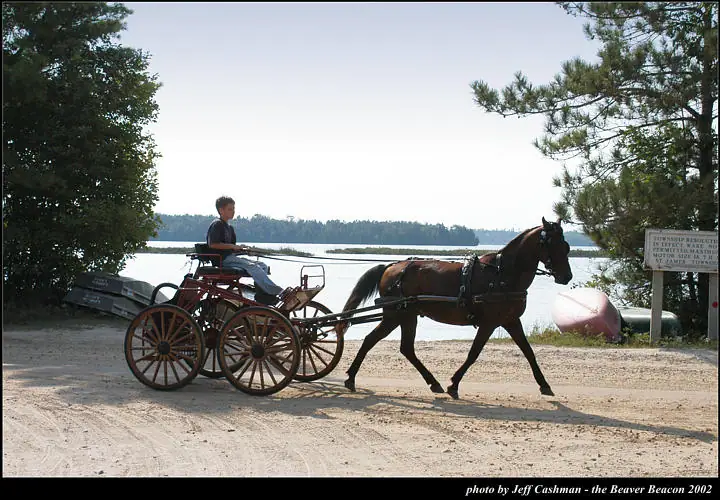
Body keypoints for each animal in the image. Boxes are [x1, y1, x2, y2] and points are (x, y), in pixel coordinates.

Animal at [336, 217, 573, 399]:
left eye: (567, 246)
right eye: (551, 244)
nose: (567, 276)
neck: (501, 275)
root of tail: (391, 266)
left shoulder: (510, 320)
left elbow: (529, 352)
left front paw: (544, 384)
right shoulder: (489, 323)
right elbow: (473, 353)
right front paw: (454, 384)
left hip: (406, 315)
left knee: (401, 347)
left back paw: (429, 382)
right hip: (396, 315)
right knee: (374, 341)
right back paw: (352, 377)